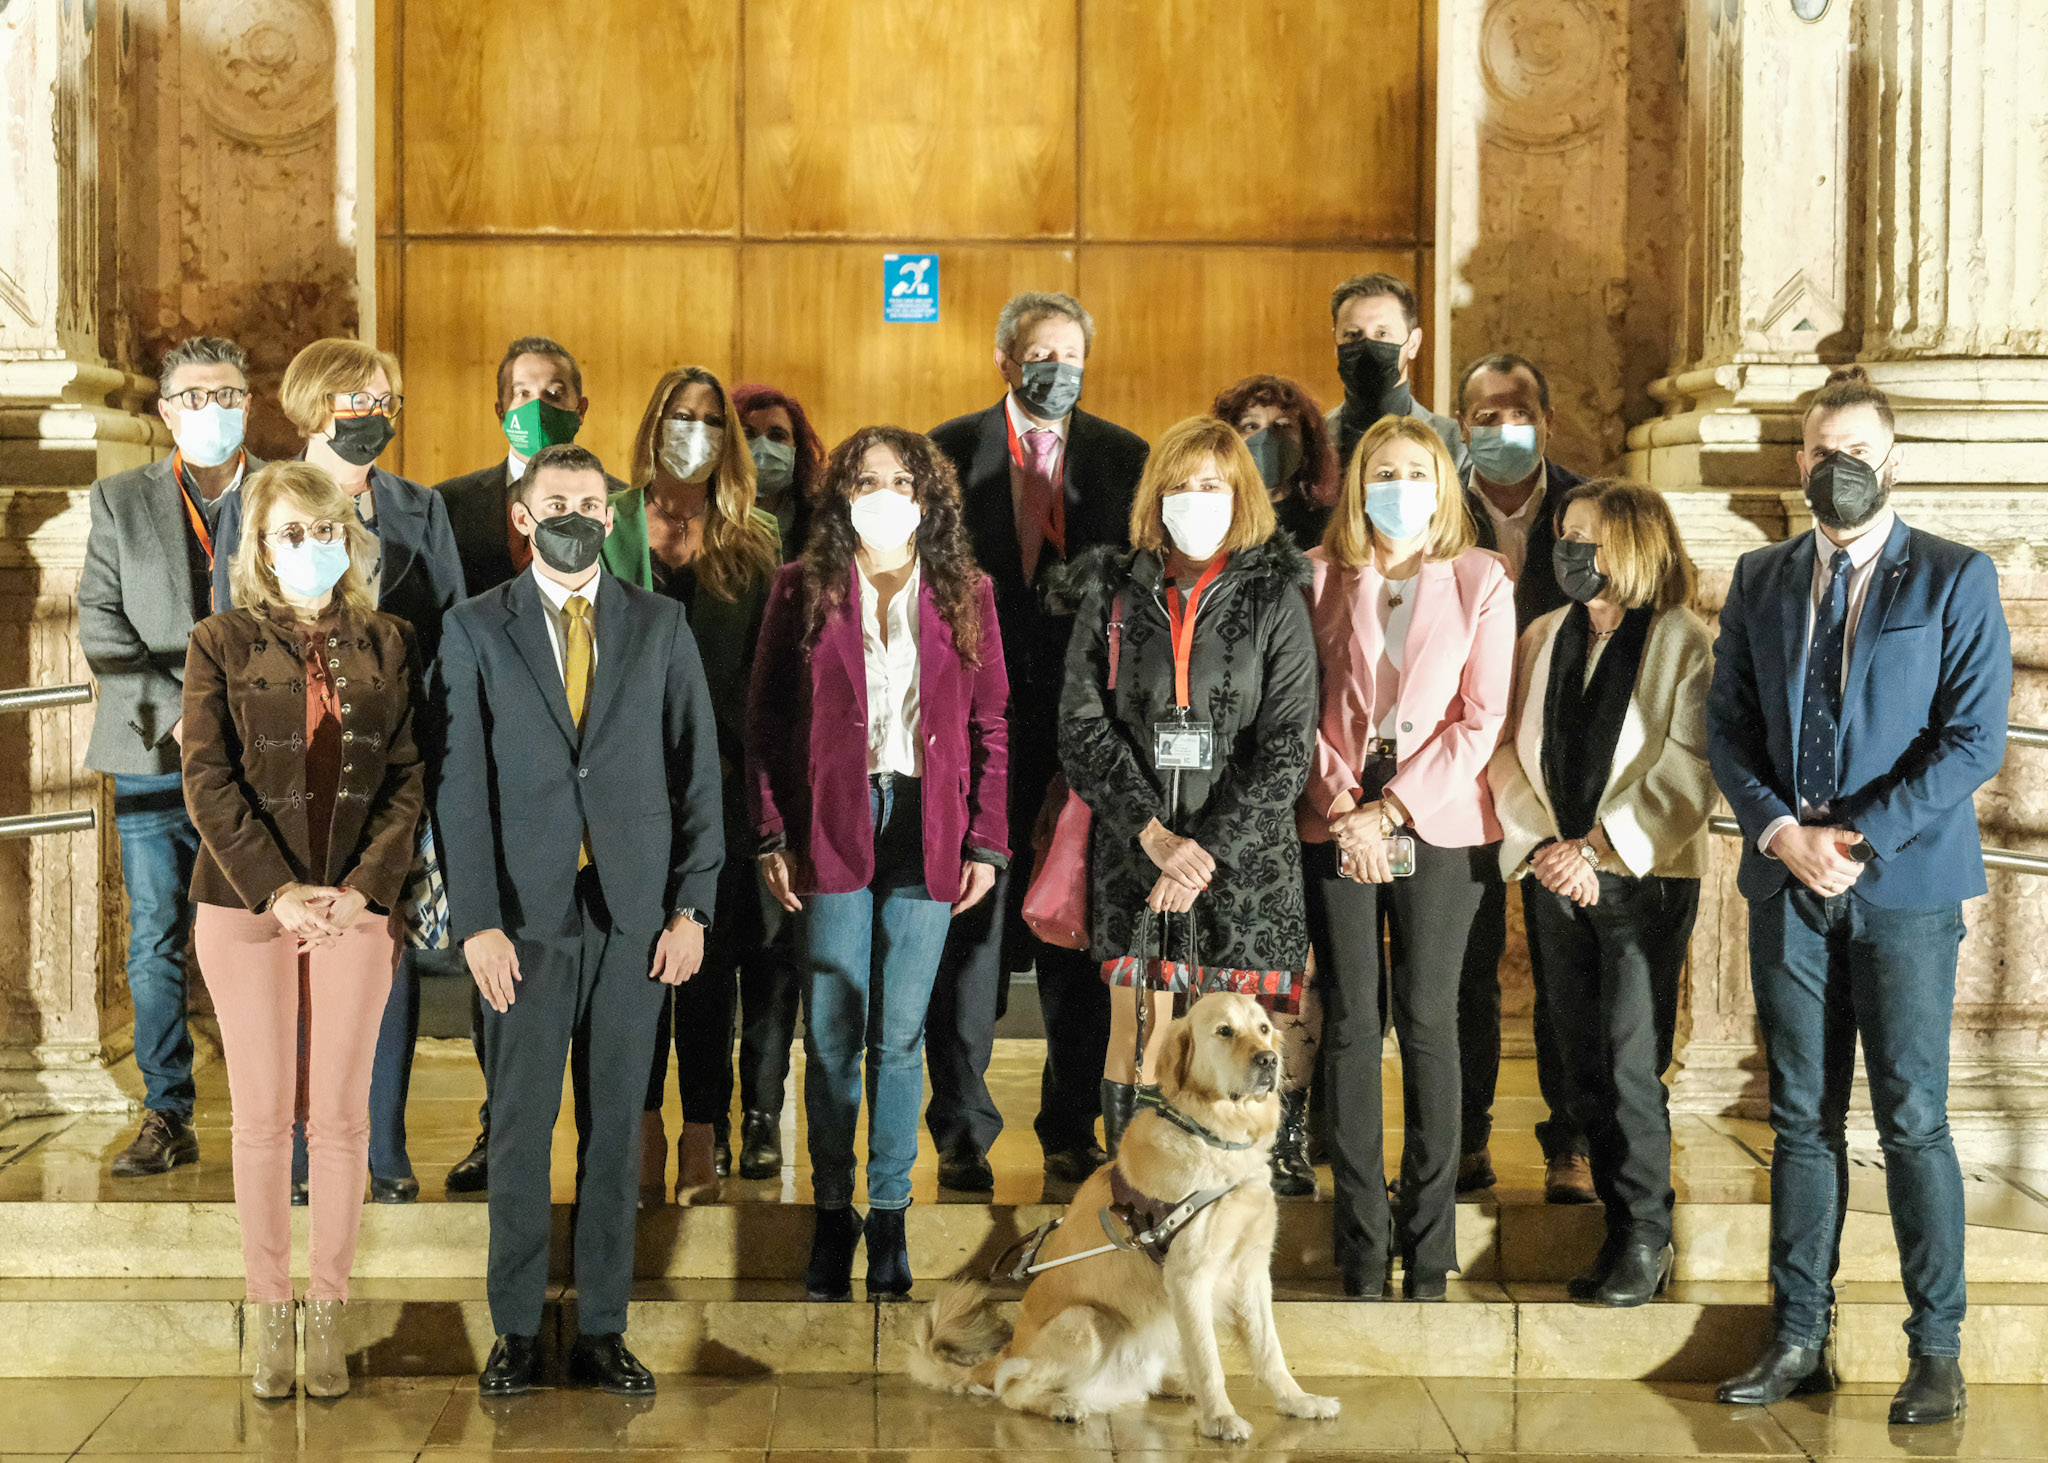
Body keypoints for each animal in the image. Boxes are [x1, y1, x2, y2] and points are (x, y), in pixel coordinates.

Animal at [917, 987, 1343, 1442]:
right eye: (1224, 1031)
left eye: (1263, 1028)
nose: (1269, 1060)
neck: (1217, 1143)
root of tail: (1004, 1351)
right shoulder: (1189, 1275)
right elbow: (1209, 1360)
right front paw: (1221, 1418)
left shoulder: (1252, 1268)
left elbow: (1269, 1350)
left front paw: (1298, 1401)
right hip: (1088, 1321)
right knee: (1012, 1388)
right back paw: (1064, 1404)